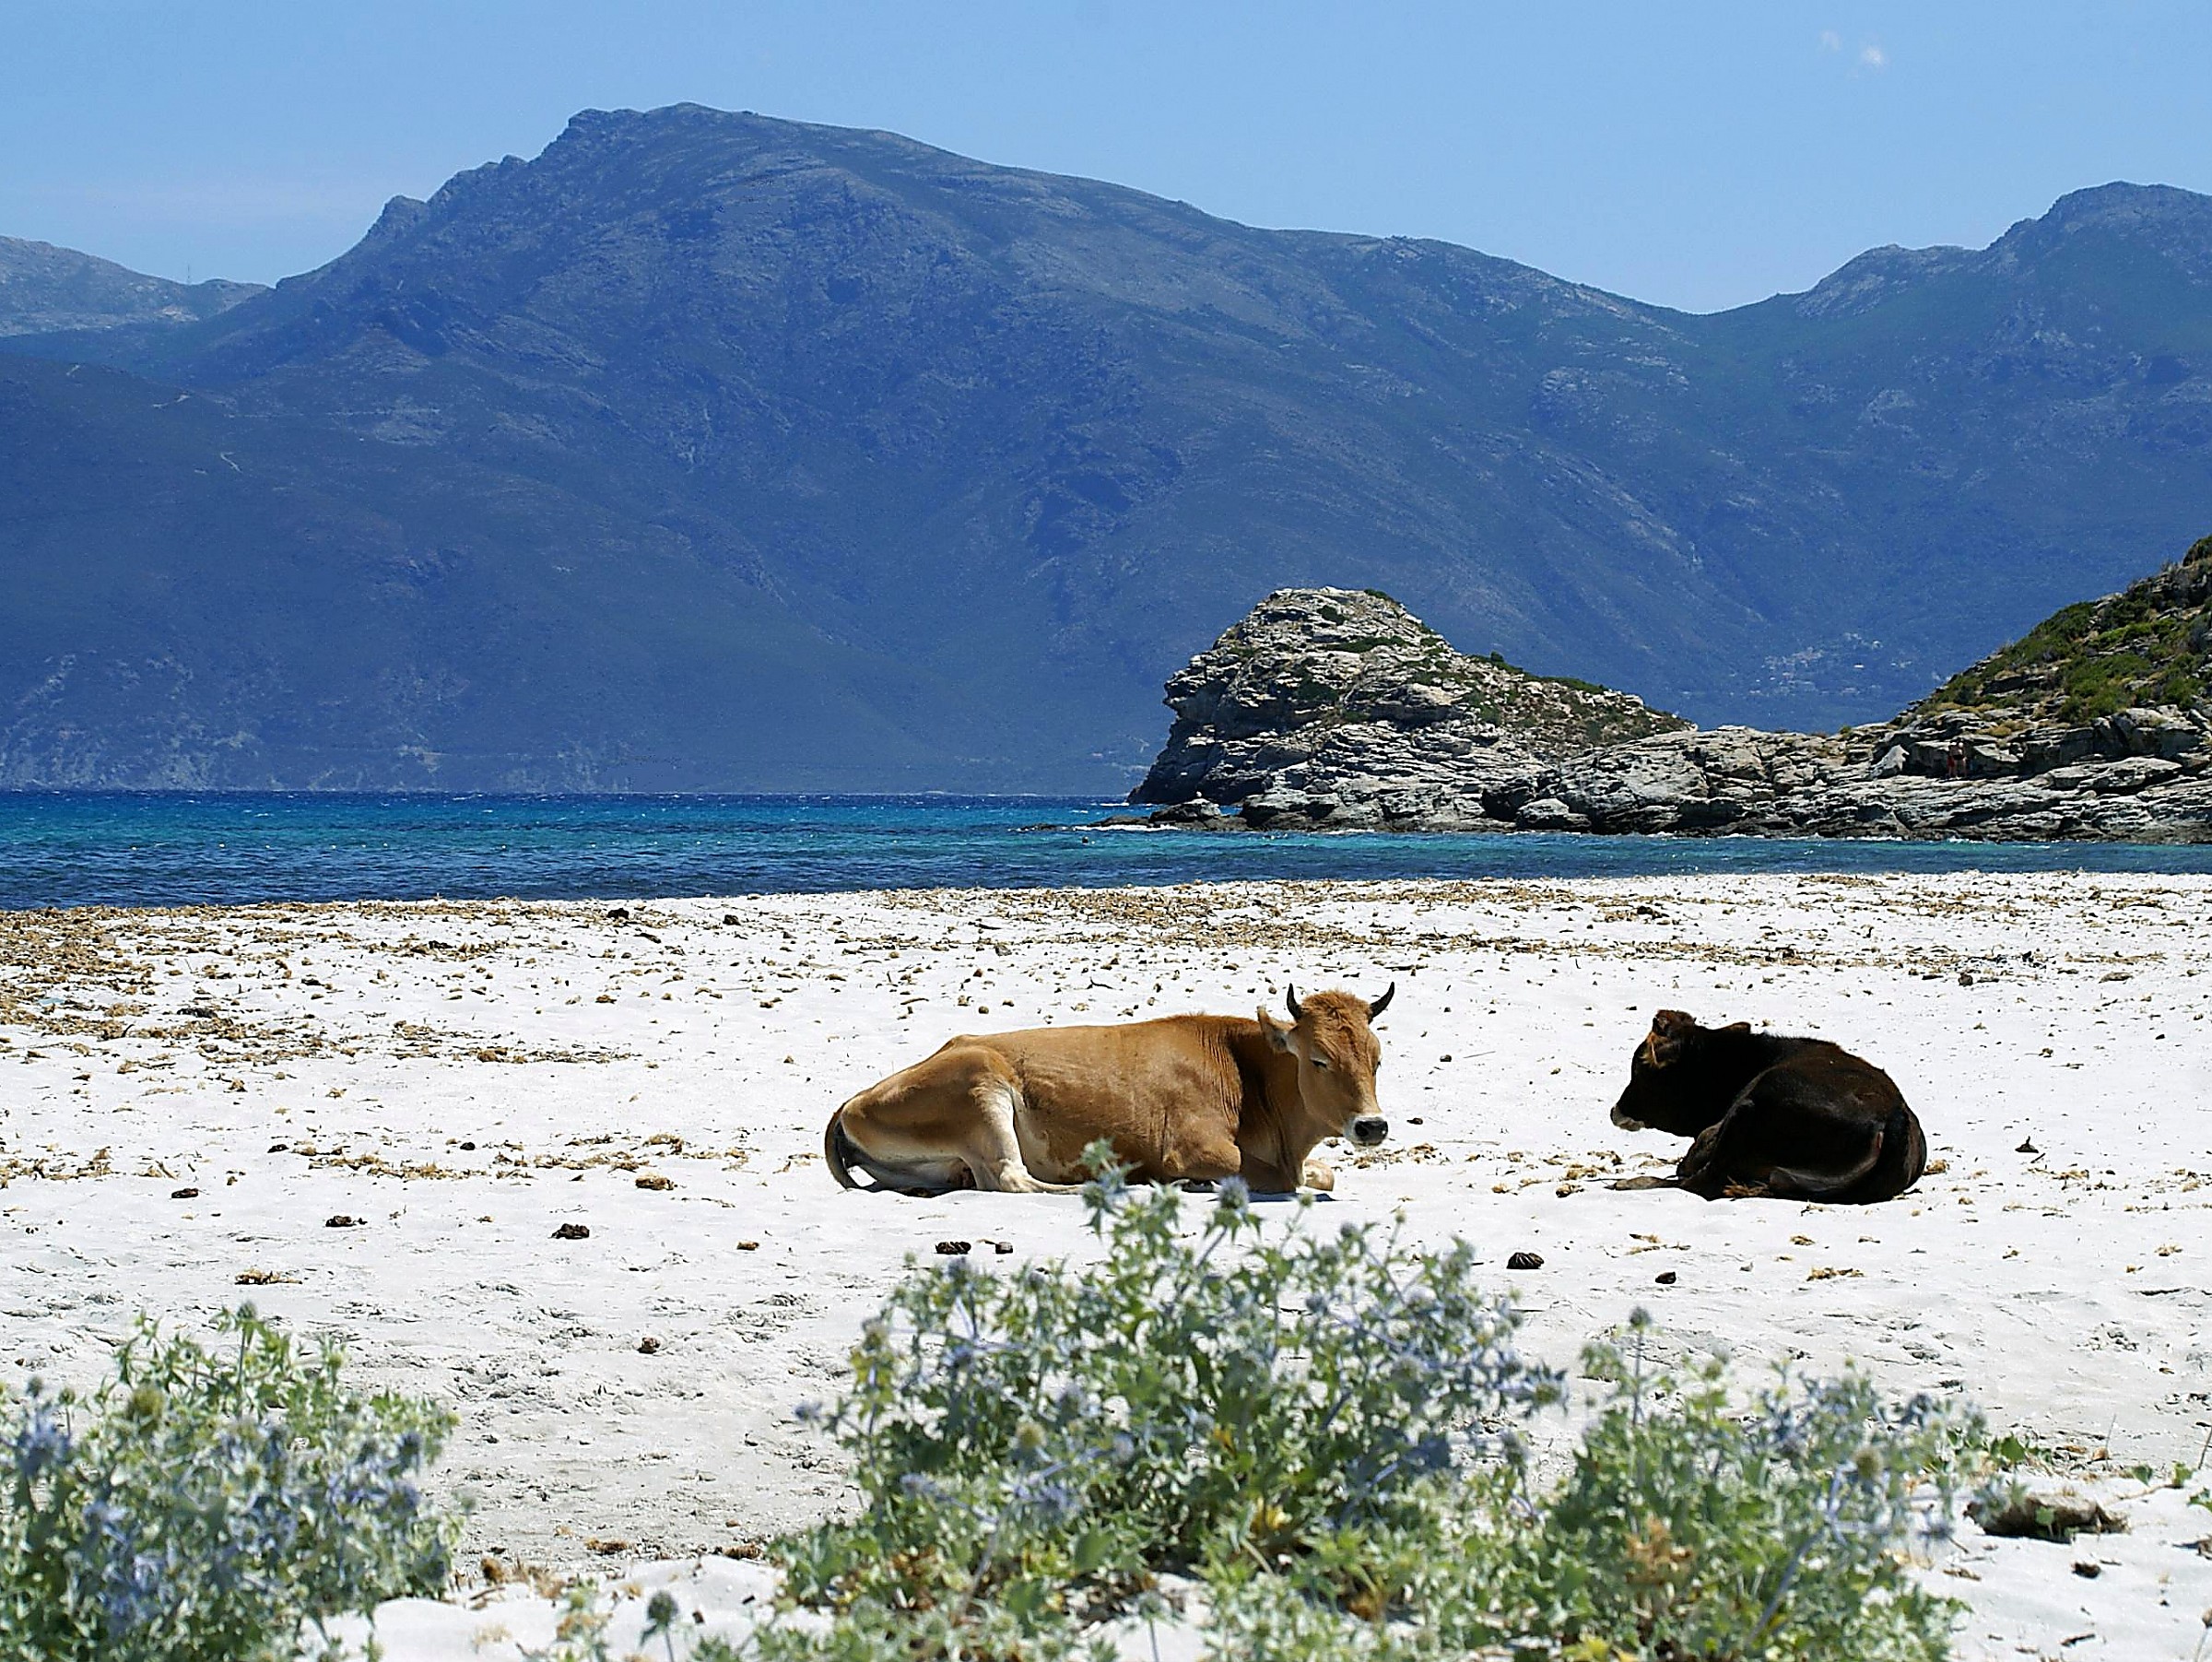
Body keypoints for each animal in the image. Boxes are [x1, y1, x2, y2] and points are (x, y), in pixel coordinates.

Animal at [824, 983, 1395, 1196]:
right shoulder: (1192, 1146)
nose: (1371, 1126)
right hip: (981, 1086)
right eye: (1318, 1059)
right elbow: (1277, 1177)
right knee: (1012, 1179)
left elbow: (1323, 1174)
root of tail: (853, 1101)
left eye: (1376, 1058)